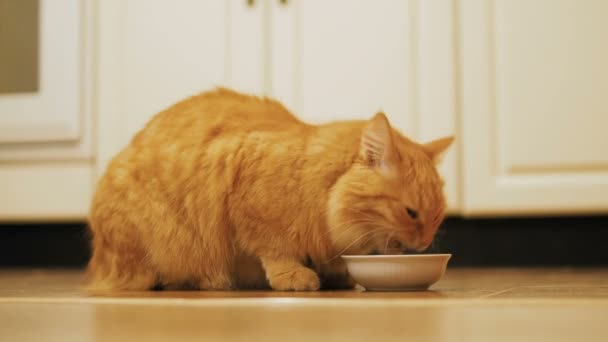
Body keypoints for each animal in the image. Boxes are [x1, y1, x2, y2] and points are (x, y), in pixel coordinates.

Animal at [88, 88, 454, 292]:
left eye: (437, 218)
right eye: (411, 213)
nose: (424, 243)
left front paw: (335, 274)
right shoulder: (248, 207)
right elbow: (276, 250)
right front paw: (294, 275)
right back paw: (209, 281)